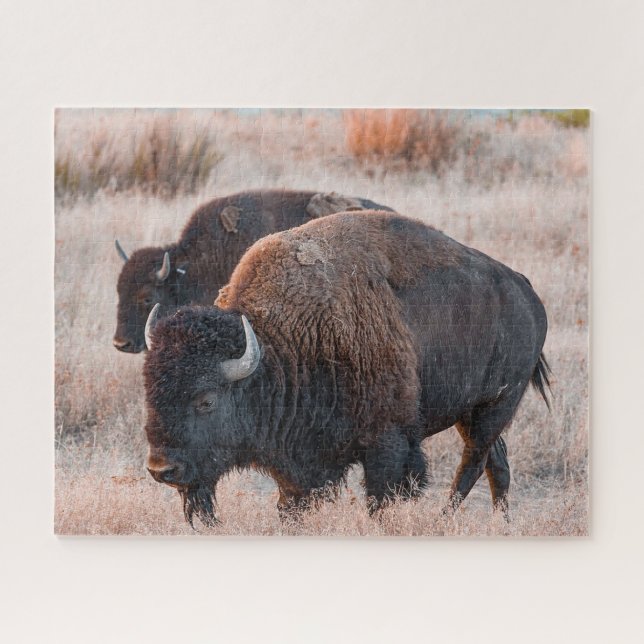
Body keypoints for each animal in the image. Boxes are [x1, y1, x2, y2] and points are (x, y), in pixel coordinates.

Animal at [143, 211, 550, 526]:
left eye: (206, 400)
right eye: (149, 393)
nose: (162, 469)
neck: (284, 343)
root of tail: (527, 292)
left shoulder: (388, 445)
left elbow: (381, 501)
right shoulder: (297, 465)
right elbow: (290, 505)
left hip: (495, 405)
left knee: (473, 463)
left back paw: (444, 519)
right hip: (473, 412)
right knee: (496, 462)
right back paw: (502, 523)